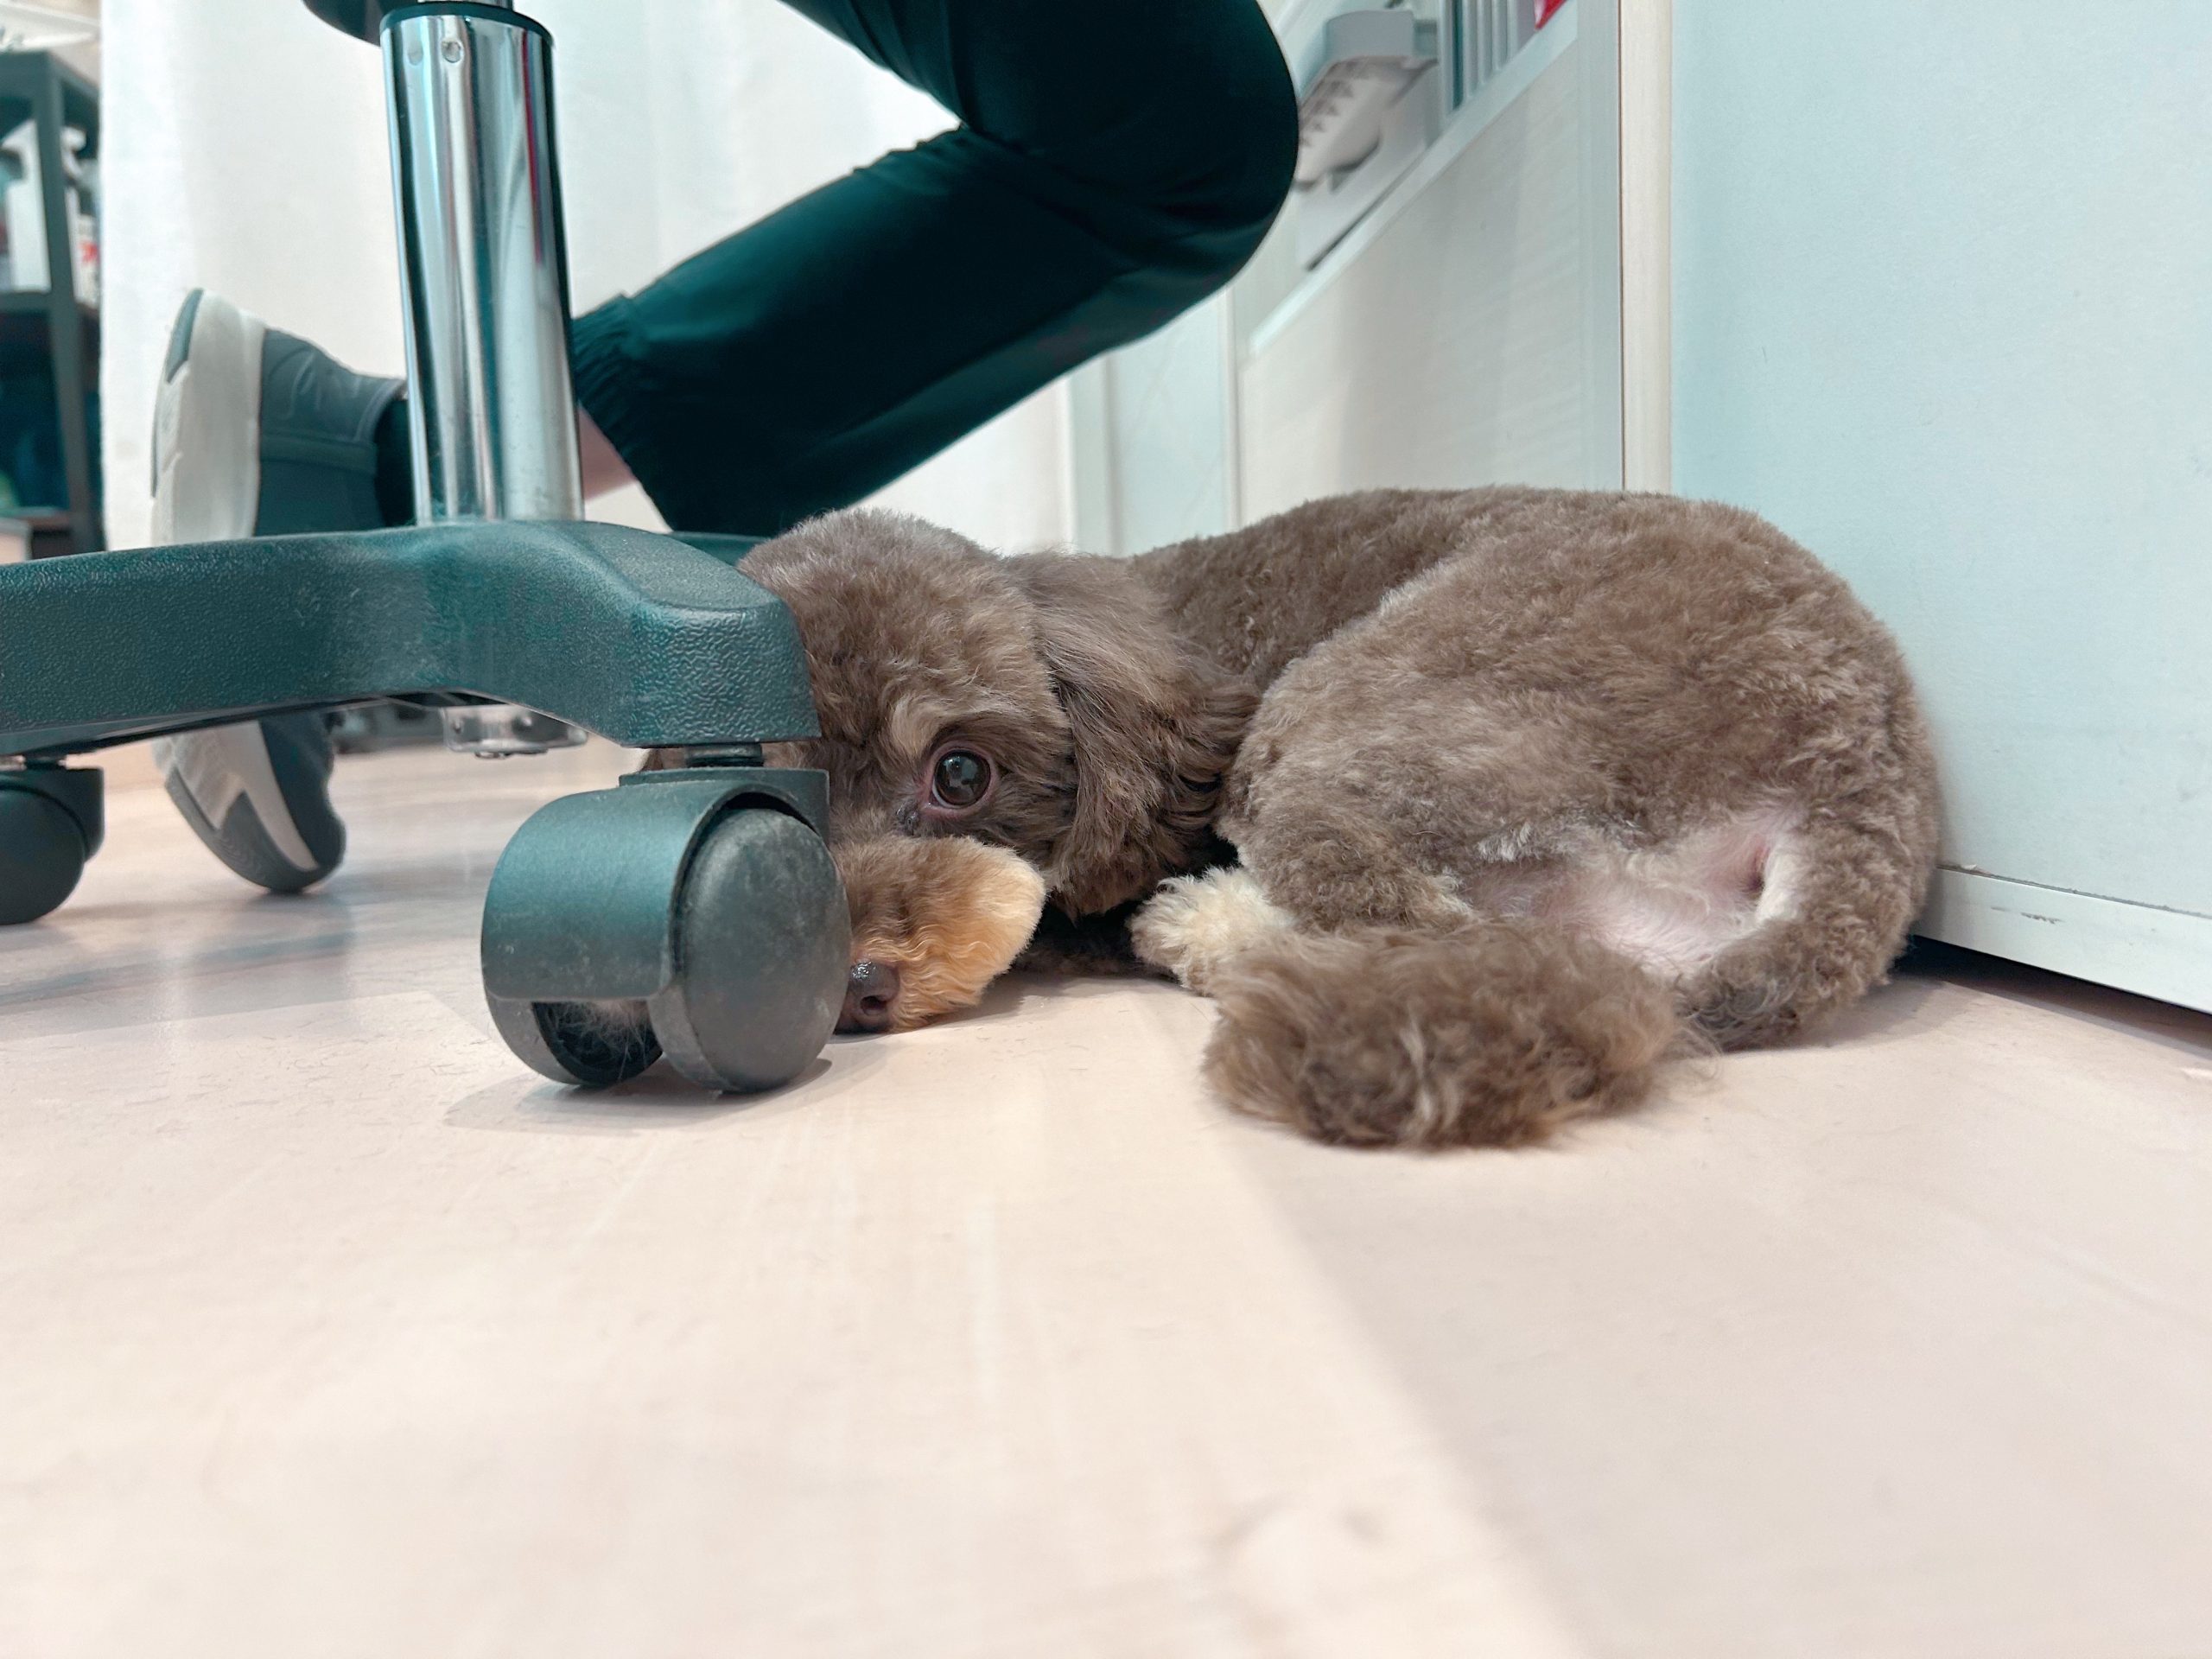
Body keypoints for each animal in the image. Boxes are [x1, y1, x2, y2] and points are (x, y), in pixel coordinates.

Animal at [655, 487, 1939, 1149]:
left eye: (959, 774)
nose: (855, 988)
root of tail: (1860, 781)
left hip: (1348, 718)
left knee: (1403, 915)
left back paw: (1206, 924)